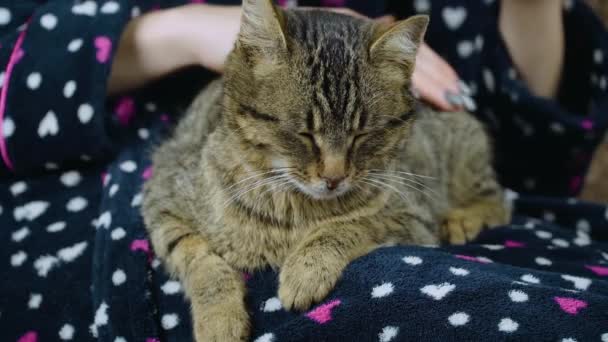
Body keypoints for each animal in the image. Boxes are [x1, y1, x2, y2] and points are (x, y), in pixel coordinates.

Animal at [140, 1, 510, 340]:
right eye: (304, 133)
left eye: (362, 134)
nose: (334, 178)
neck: (292, 209)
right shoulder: (161, 199)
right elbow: (201, 261)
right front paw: (220, 319)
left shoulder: (413, 217)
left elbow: (347, 226)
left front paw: (305, 270)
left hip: (466, 150)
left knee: (498, 198)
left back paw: (463, 219)